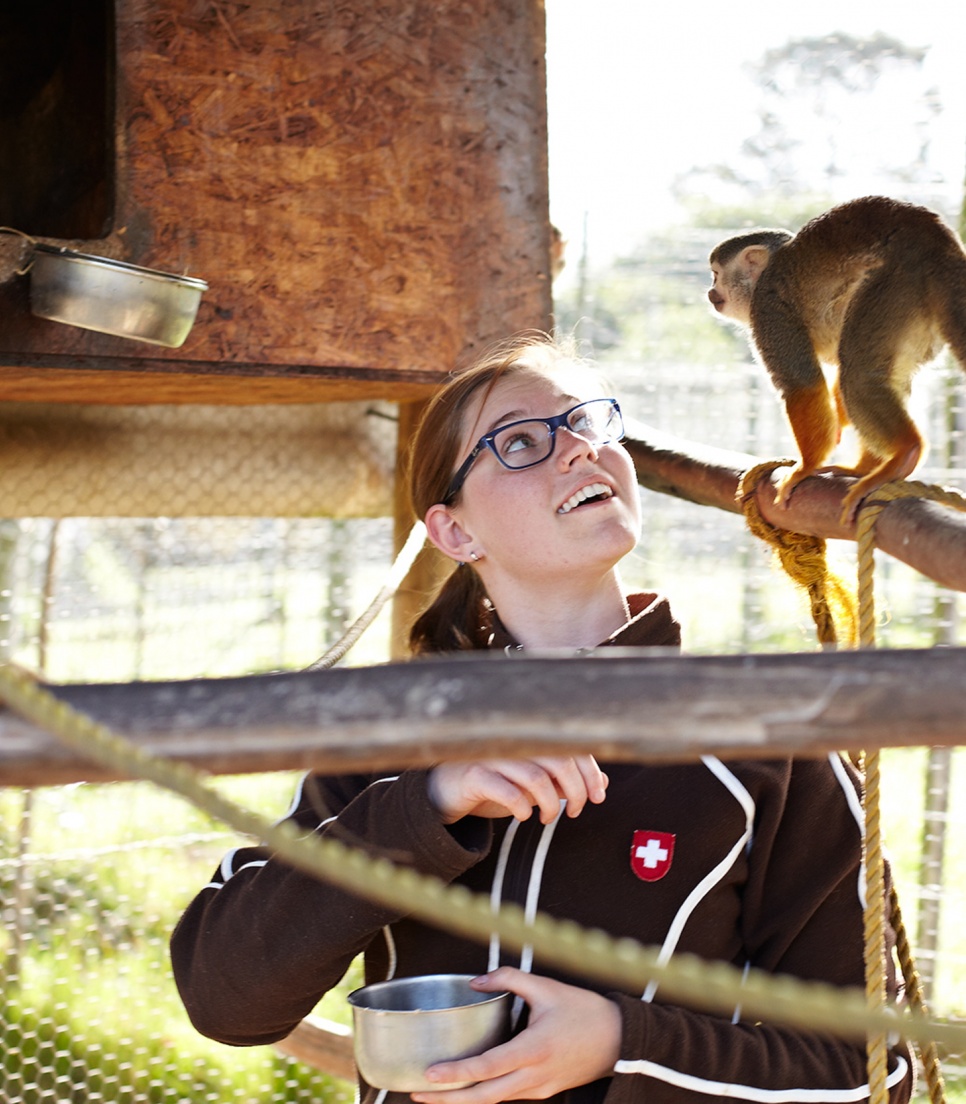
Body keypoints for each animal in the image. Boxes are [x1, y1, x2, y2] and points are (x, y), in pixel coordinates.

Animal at [706, 196, 966, 523]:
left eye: (716, 274)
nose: (710, 292)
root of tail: (939, 239)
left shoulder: (768, 307)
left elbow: (800, 383)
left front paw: (806, 466)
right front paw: (838, 423)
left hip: (898, 279)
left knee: (857, 374)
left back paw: (905, 453)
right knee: (881, 376)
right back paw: (866, 468)